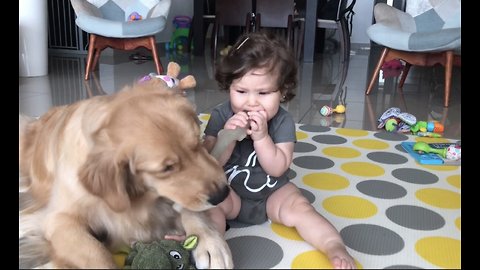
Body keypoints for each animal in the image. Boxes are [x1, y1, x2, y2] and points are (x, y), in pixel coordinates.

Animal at [19, 75, 233, 268]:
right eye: (166, 168)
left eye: (198, 142)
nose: (223, 193)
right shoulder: (60, 219)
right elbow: (97, 254)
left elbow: (190, 211)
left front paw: (211, 243)